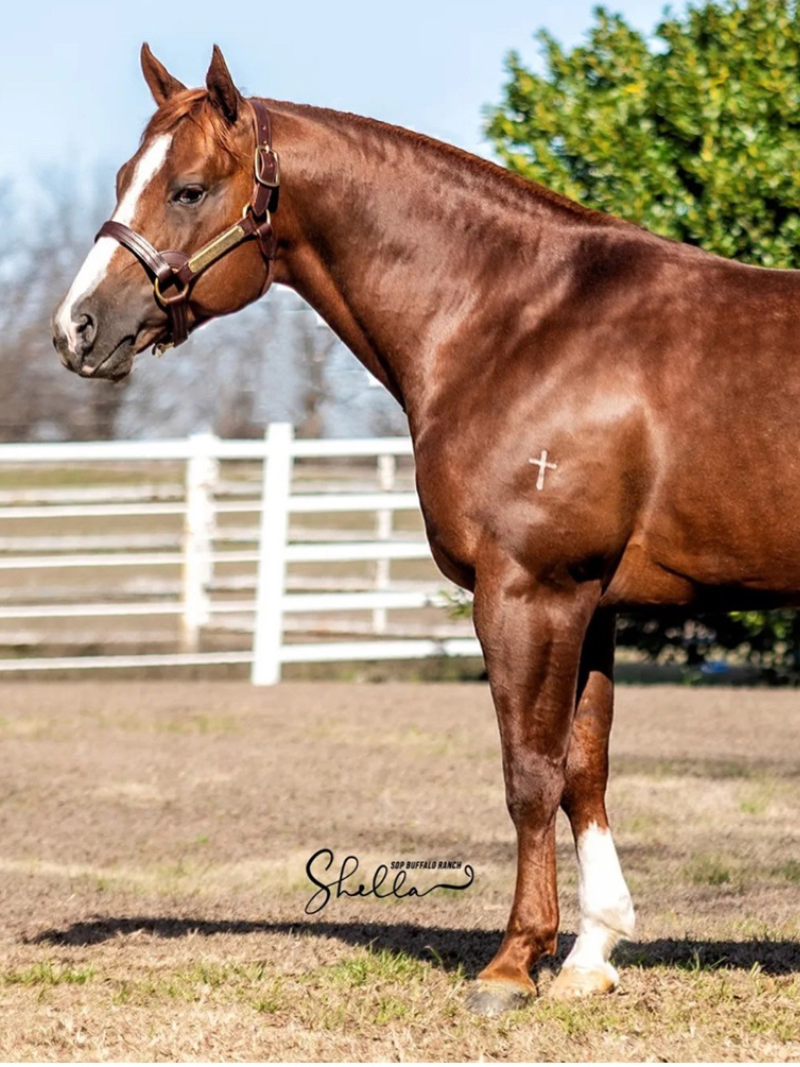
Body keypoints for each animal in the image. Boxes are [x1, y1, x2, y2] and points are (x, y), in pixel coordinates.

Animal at [52, 44, 800, 1016]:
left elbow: (530, 774)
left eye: (186, 189)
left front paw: (512, 963)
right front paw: (591, 954)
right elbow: (584, 769)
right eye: (121, 178)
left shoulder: (529, 591)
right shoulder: (591, 600)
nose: (76, 327)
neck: (518, 321)